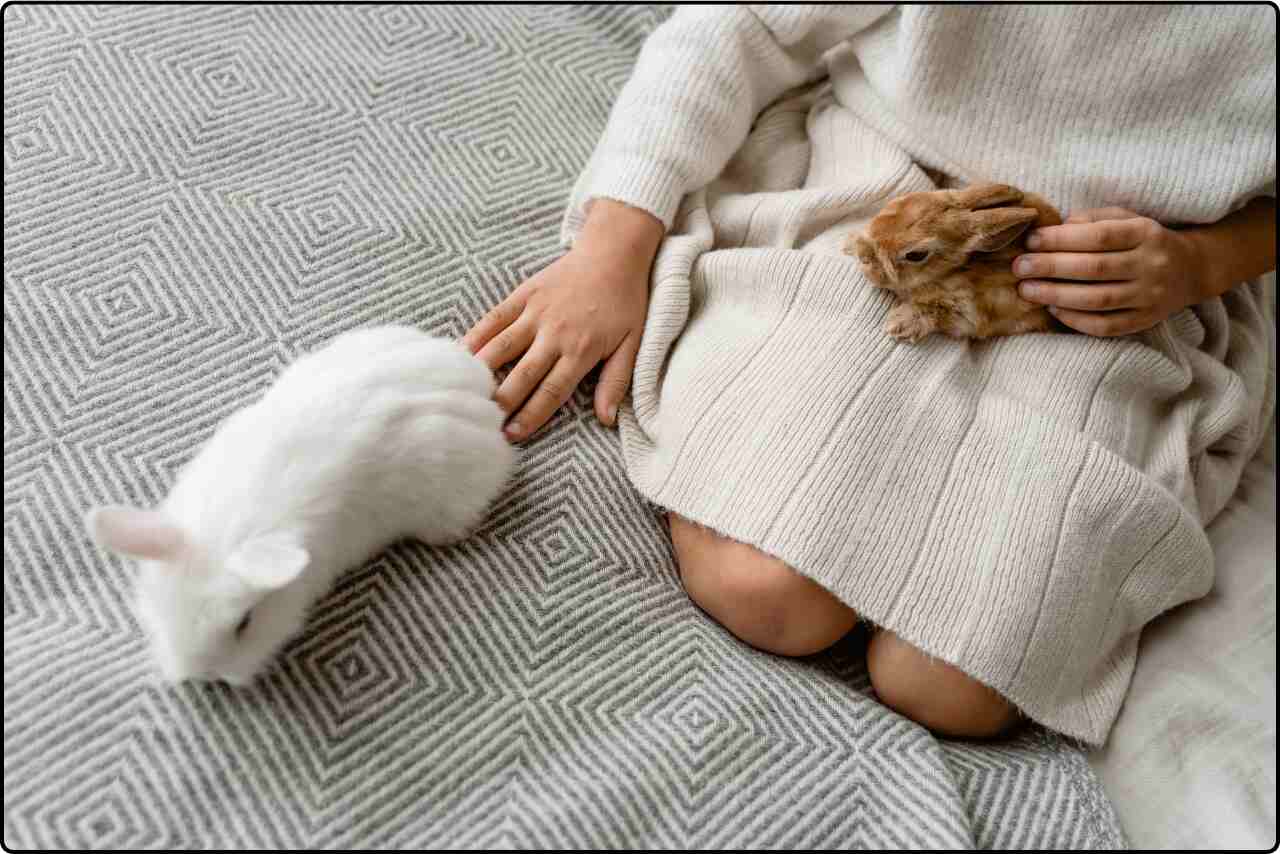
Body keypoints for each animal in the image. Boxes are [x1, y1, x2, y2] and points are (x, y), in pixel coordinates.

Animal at [844, 184, 1064, 343]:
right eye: (895, 203)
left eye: (916, 255)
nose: (864, 257)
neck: (954, 270)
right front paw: (849, 244)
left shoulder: (968, 313)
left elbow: (932, 312)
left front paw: (898, 325)